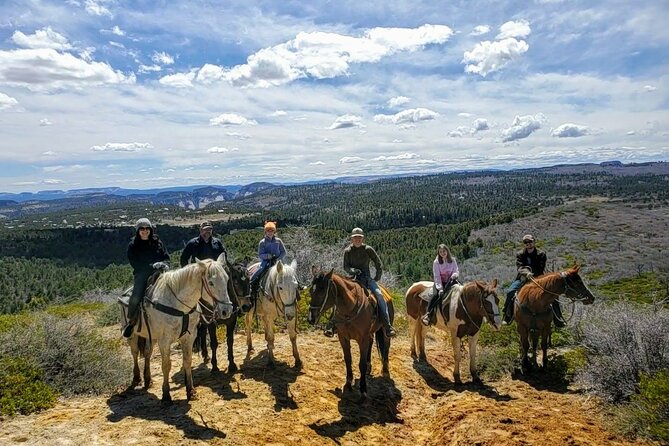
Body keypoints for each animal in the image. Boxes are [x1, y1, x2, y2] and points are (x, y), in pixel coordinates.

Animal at [306, 266, 394, 402]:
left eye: (322, 291)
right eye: (311, 290)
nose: (311, 318)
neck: (349, 310)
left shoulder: (362, 339)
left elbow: (361, 364)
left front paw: (363, 390)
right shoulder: (343, 337)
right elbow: (348, 359)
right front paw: (348, 384)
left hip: (384, 331)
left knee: (386, 346)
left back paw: (385, 370)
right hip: (370, 332)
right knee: (371, 341)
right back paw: (370, 366)